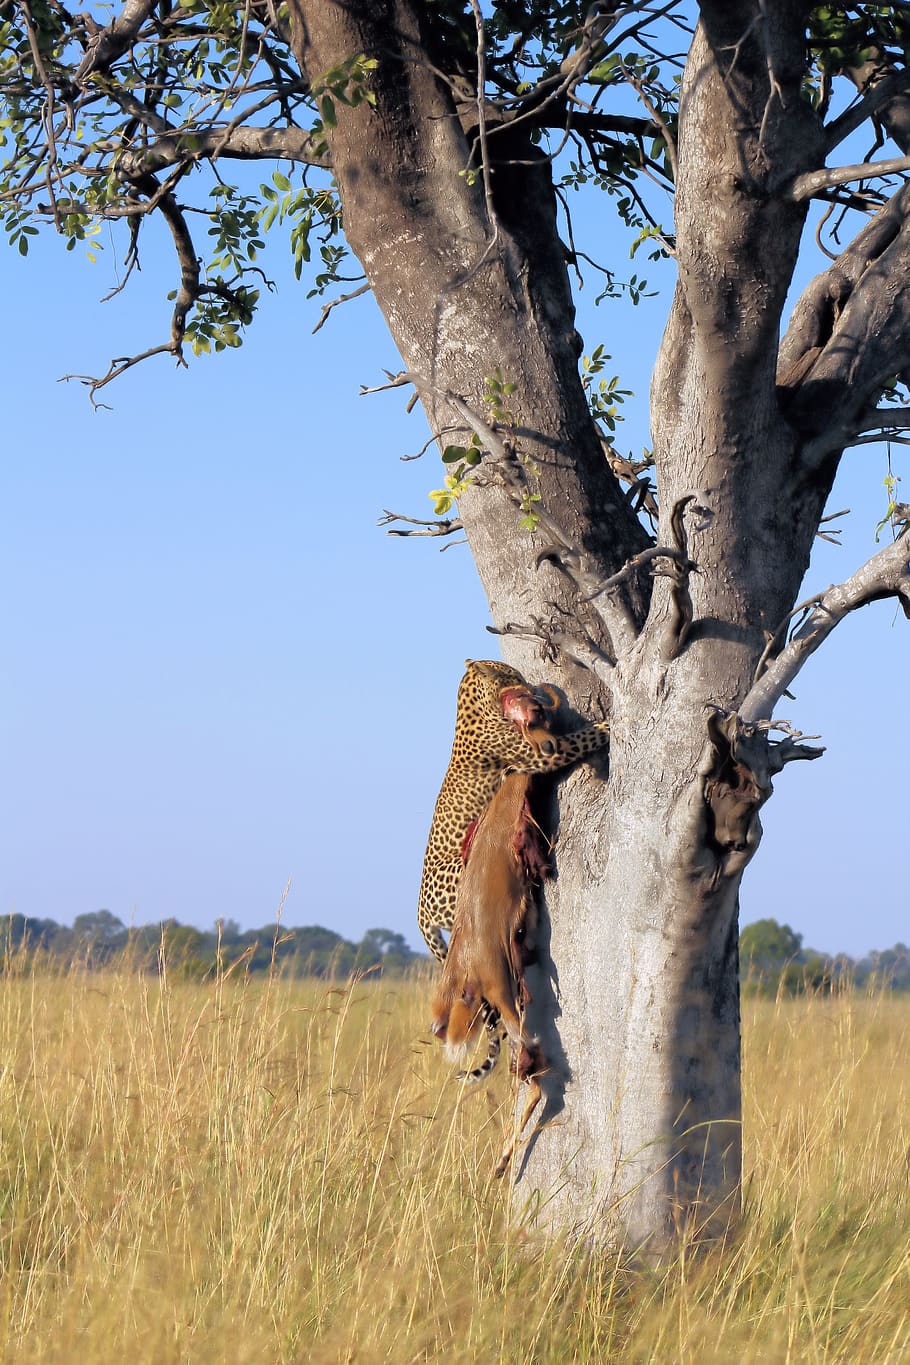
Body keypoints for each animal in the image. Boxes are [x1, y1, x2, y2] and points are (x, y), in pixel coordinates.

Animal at [417, 658, 610, 963]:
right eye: (513, 675)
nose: (529, 687)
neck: (473, 707)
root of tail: (421, 915)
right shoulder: (542, 753)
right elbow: (581, 737)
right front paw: (607, 725)